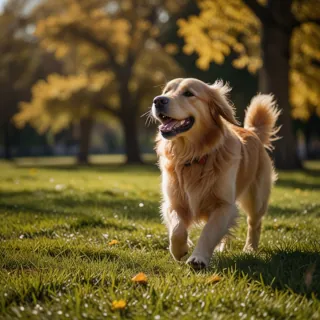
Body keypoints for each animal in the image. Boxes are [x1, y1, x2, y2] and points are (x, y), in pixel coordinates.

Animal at [152, 78, 280, 270]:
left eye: (188, 93)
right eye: (166, 91)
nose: (158, 100)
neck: (194, 156)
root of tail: (252, 132)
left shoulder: (223, 205)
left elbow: (208, 232)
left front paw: (198, 258)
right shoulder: (174, 202)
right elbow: (176, 229)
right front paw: (179, 250)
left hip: (256, 198)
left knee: (254, 223)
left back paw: (250, 249)